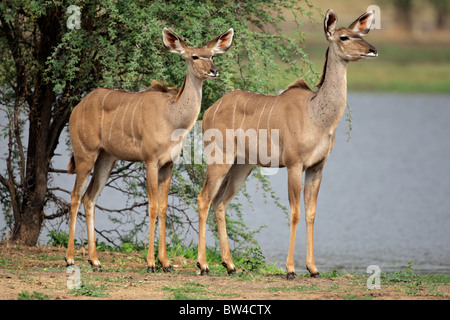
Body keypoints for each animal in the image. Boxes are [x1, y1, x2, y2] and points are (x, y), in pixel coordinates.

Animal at [66, 28, 236, 272]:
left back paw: (95, 260)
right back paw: (70, 258)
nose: (213, 71)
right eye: (194, 56)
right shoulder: (150, 161)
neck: (172, 118)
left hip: (106, 159)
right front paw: (151, 263)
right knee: (75, 196)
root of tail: (77, 108)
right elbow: (153, 207)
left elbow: (164, 207)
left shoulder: (168, 164)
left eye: (212, 55)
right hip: (85, 154)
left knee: (90, 198)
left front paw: (166, 262)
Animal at [197, 9, 376, 280]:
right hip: (219, 160)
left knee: (220, 204)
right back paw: (204, 265)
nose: (373, 50)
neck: (317, 115)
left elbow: (311, 213)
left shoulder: (317, 168)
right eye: (344, 37)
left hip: (242, 167)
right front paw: (291, 269)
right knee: (204, 199)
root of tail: (208, 111)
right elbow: (295, 213)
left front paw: (313, 269)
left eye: (361, 34)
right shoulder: (294, 165)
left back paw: (230, 265)